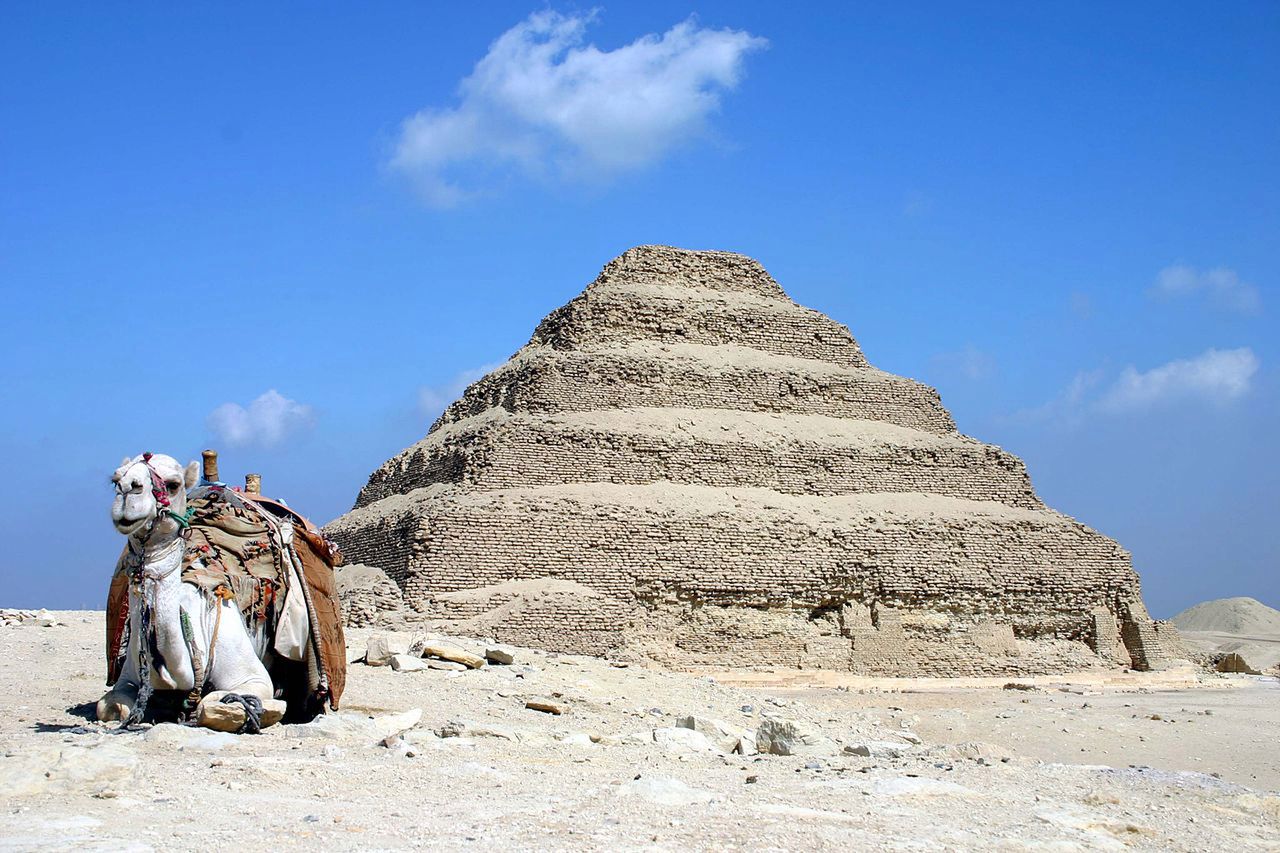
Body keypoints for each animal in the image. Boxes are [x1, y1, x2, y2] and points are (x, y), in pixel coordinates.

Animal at [96, 450, 308, 722]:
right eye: (115, 479)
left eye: (173, 484)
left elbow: (213, 702)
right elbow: (110, 707)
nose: (127, 491)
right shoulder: (127, 677)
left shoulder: (252, 678)